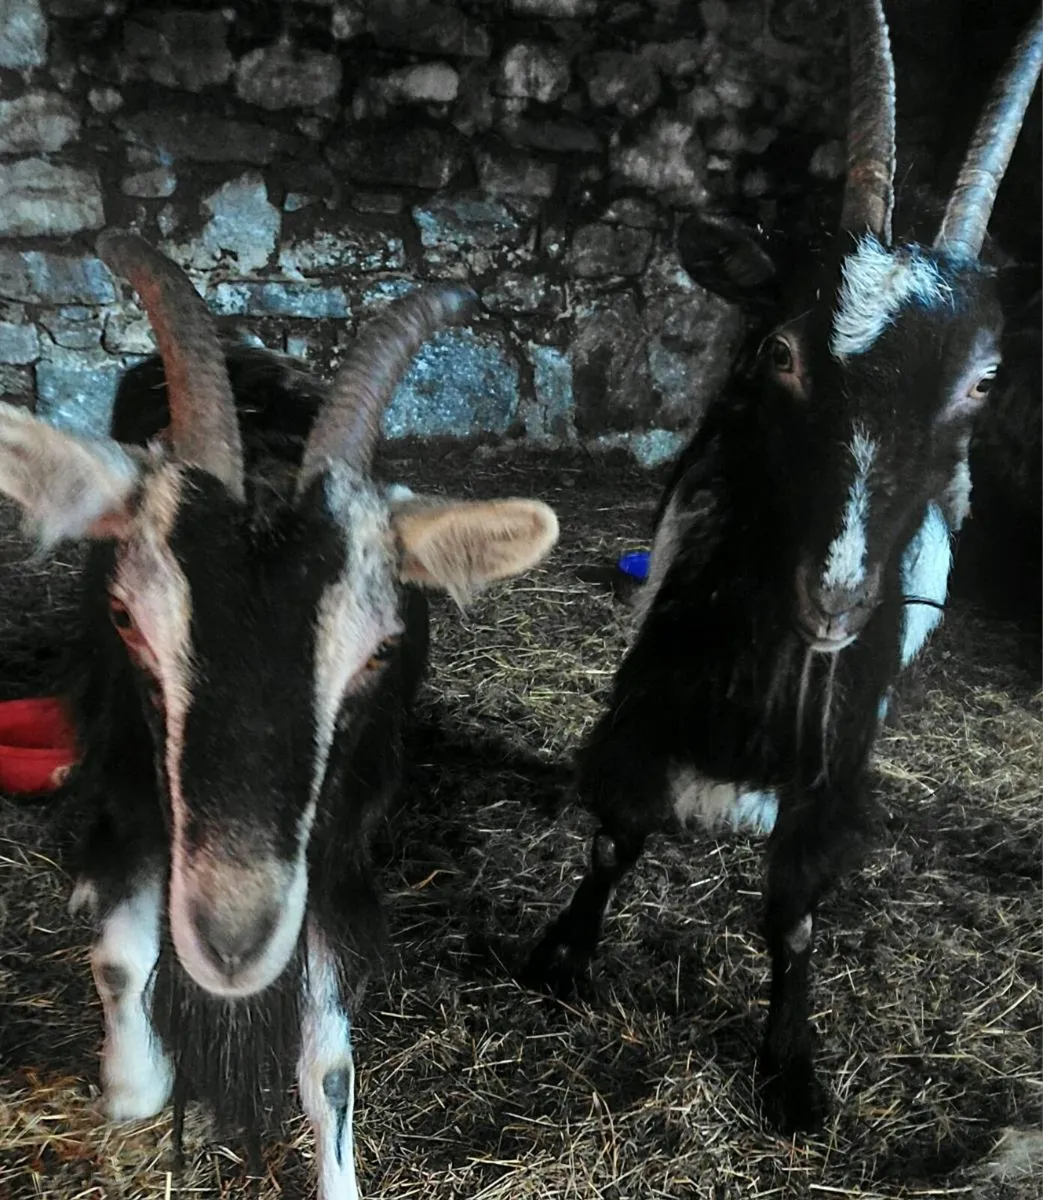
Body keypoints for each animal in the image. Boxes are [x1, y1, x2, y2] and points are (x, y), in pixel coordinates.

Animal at [0, 232, 559, 1198]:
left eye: (378, 650)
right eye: (126, 620)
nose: (233, 939)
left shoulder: (336, 836)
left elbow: (329, 1062)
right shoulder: (134, 762)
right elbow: (120, 955)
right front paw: (134, 1085)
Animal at [526, 0, 1042, 1135]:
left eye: (982, 383)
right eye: (780, 352)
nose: (837, 597)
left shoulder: (837, 751)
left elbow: (796, 914)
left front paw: (790, 1069)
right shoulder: (647, 692)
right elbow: (614, 834)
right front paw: (562, 958)